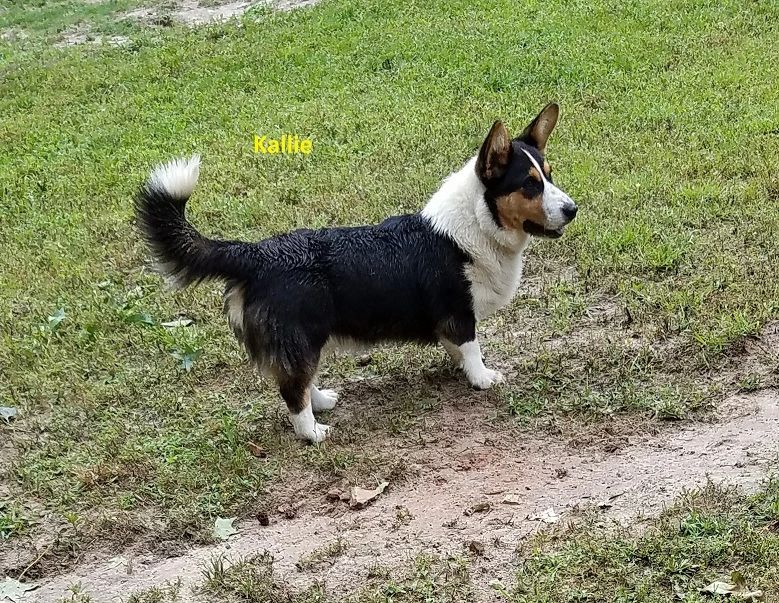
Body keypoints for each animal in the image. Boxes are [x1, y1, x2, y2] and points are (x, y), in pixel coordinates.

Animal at [134, 105, 576, 444]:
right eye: (529, 185)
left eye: (549, 175)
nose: (573, 209)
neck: (475, 224)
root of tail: (257, 254)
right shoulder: (459, 312)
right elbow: (471, 348)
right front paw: (483, 377)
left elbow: (457, 349)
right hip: (303, 336)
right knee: (291, 390)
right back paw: (313, 432)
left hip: (304, 340)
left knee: (298, 380)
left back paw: (321, 401)